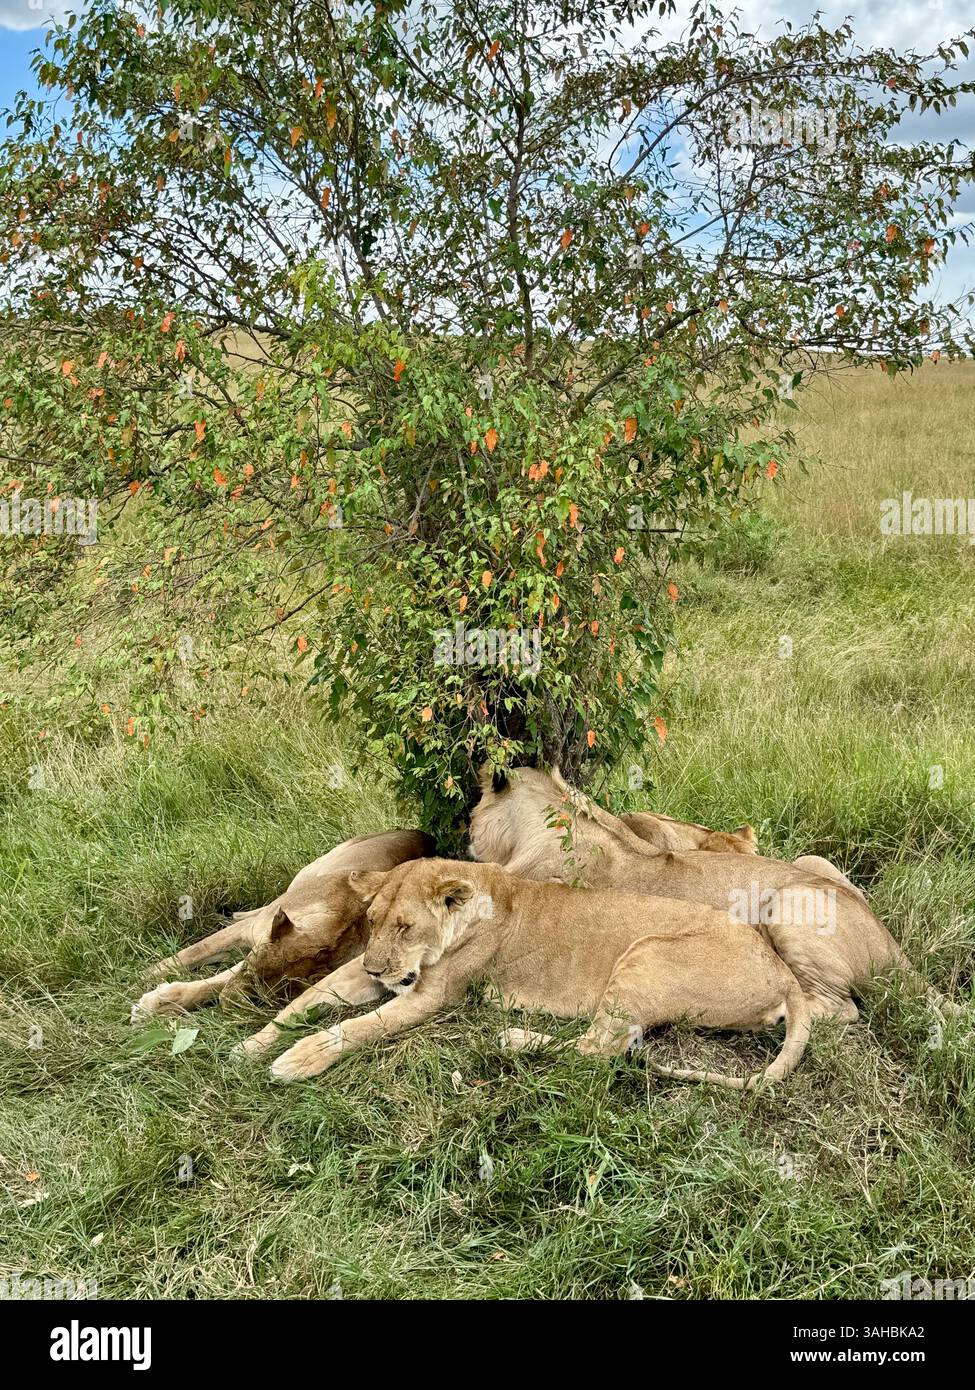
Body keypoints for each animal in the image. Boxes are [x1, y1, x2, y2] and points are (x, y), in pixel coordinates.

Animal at [265, 857, 812, 1087]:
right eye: (374, 923)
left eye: (405, 927)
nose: (378, 970)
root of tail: (785, 973)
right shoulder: (372, 972)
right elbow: (307, 1000)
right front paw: (254, 1044)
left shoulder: (433, 996)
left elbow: (361, 1027)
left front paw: (298, 1059)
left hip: (645, 956)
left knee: (599, 1050)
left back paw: (512, 1039)